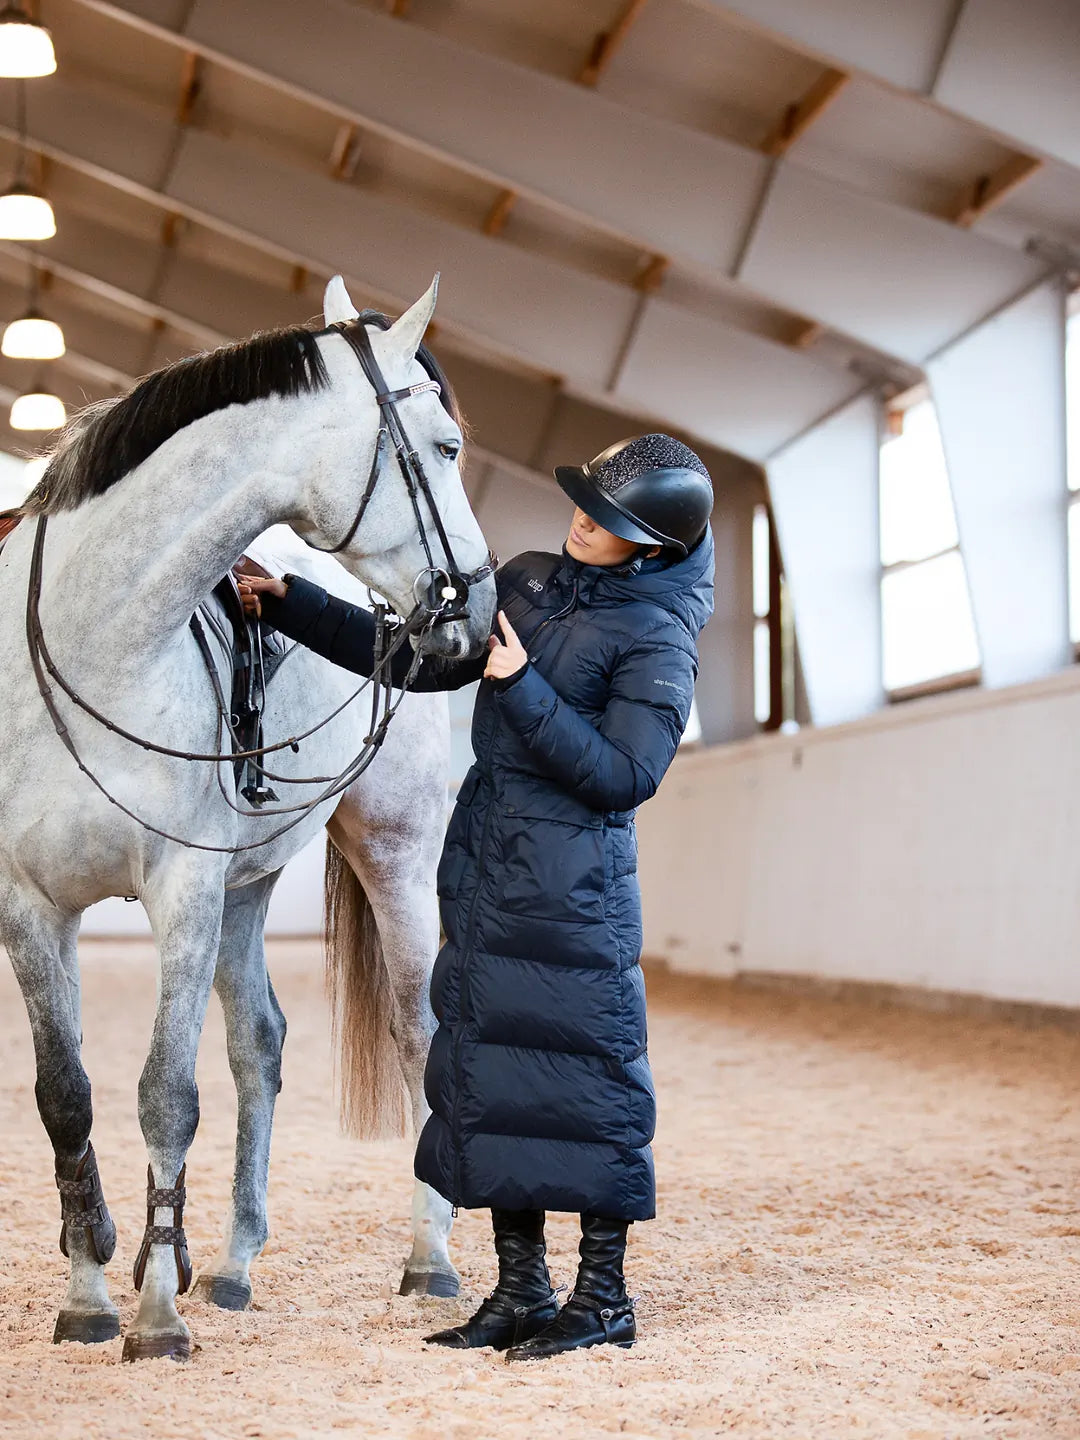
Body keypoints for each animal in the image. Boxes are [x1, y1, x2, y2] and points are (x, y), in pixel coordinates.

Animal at [0, 275, 496, 1362]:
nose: (476, 617)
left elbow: (165, 1094)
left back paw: (427, 1257)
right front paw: (94, 1291)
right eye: (444, 445)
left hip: (392, 856)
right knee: (258, 1046)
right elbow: (67, 1098)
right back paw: (227, 1265)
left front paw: (154, 1315)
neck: (97, 638)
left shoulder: (179, 889)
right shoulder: (29, 906)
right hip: (248, 884)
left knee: (418, 1033)